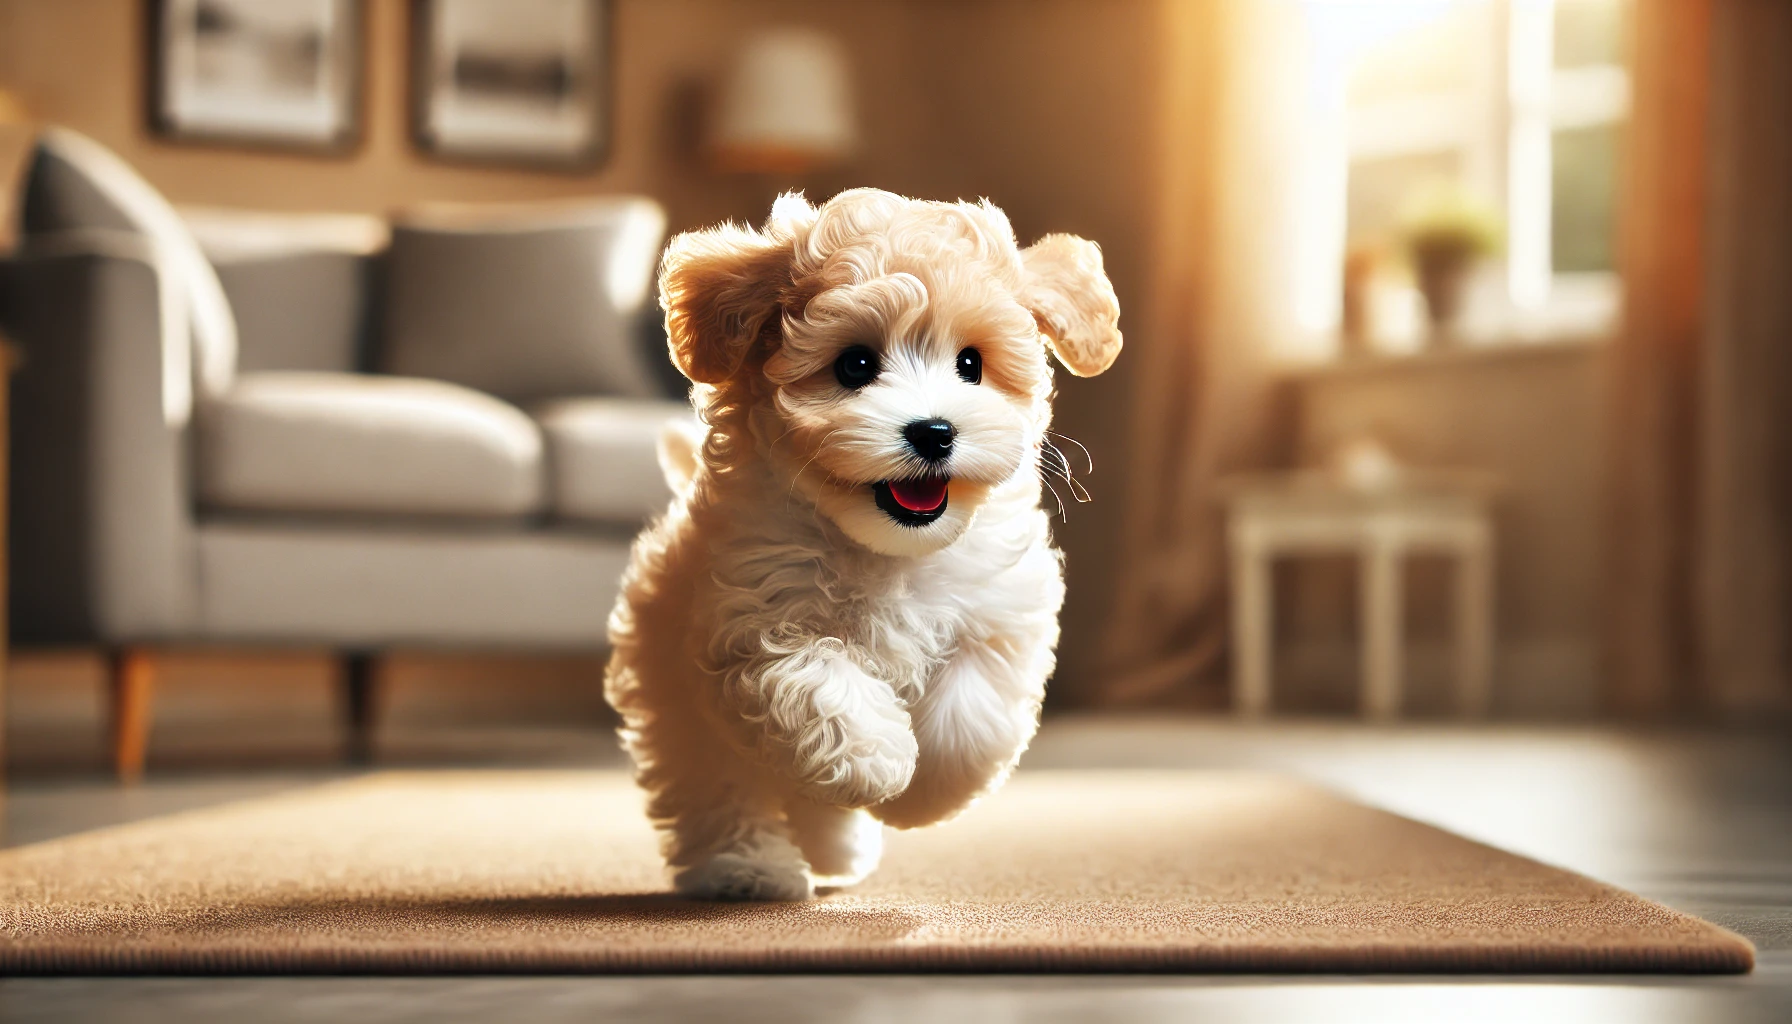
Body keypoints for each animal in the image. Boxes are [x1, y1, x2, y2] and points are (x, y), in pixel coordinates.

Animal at [609, 190, 1125, 896]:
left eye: (971, 364)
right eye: (855, 364)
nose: (934, 432)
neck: (888, 550)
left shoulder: (995, 617)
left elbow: (969, 715)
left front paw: (917, 799)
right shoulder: (755, 623)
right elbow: (819, 686)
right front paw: (875, 766)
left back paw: (835, 851)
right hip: (678, 703)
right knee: (718, 786)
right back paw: (746, 867)